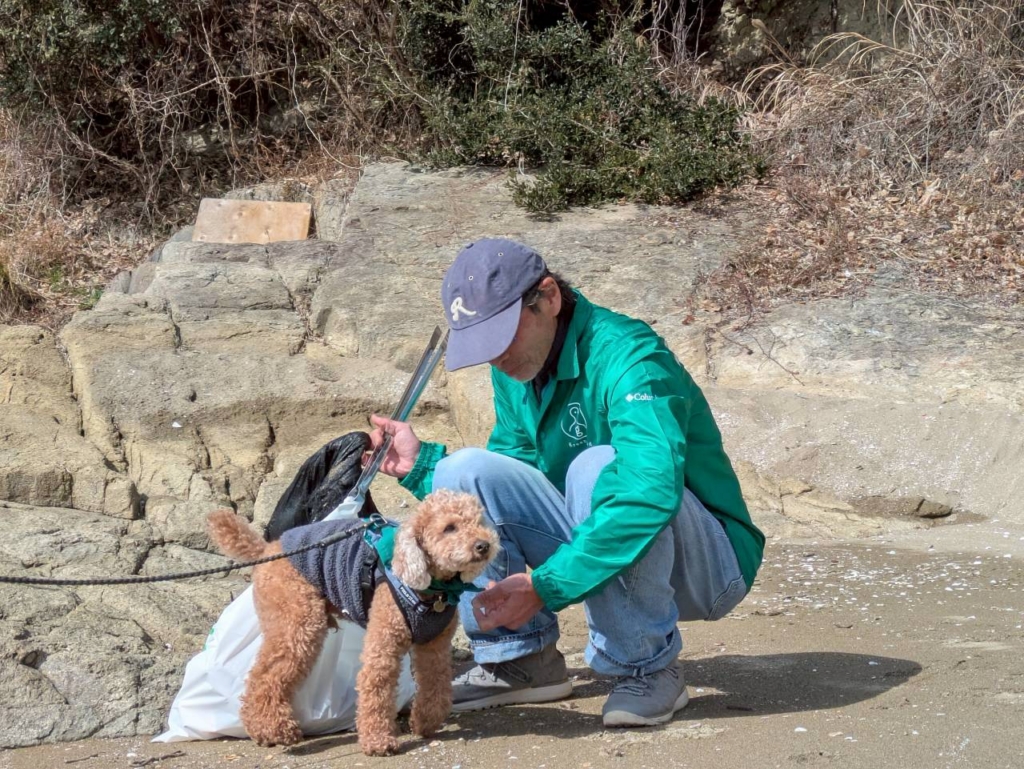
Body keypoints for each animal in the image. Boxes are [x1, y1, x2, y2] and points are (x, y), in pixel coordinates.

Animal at [206, 489, 499, 756]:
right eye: (449, 528)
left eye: (479, 522)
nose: (484, 545)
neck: (432, 590)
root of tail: (267, 549)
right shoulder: (383, 643)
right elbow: (376, 686)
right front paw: (378, 741)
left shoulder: (434, 646)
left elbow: (435, 683)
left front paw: (425, 722)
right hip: (297, 624)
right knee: (264, 676)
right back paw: (273, 730)